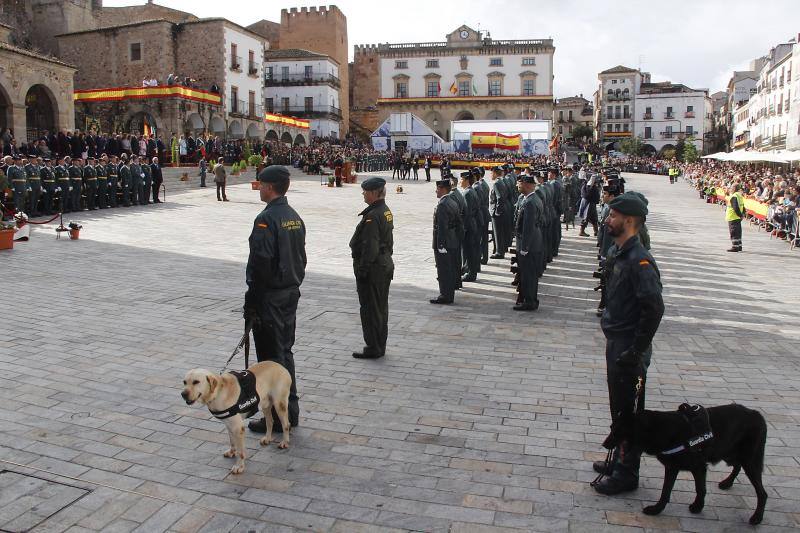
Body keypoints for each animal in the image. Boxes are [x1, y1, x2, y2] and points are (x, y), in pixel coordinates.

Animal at [608, 404, 768, 524]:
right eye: (611, 428)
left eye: (618, 431)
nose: (604, 444)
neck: (663, 429)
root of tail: (757, 414)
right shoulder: (672, 467)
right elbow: (665, 492)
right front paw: (657, 509)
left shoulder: (699, 467)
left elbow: (700, 488)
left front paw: (697, 507)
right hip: (730, 453)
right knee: (737, 465)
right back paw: (727, 482)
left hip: (750, 461)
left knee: (762, 493)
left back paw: (757, 518)